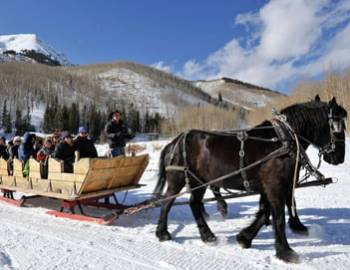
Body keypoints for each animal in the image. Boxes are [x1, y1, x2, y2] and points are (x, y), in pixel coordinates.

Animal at [154, 96, 348, 262]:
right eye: (339, 126)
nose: (340, 157)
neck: (282, 141)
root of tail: (173, 142)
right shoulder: (276, 186)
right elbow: (278, 218)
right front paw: (285, 251)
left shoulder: (271, 187)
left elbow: (264, 213)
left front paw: (244, 238)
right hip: (179, 179)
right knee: (167, 202)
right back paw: (163, 232)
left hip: (199, 182)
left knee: (194, 203)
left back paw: (207, 235)